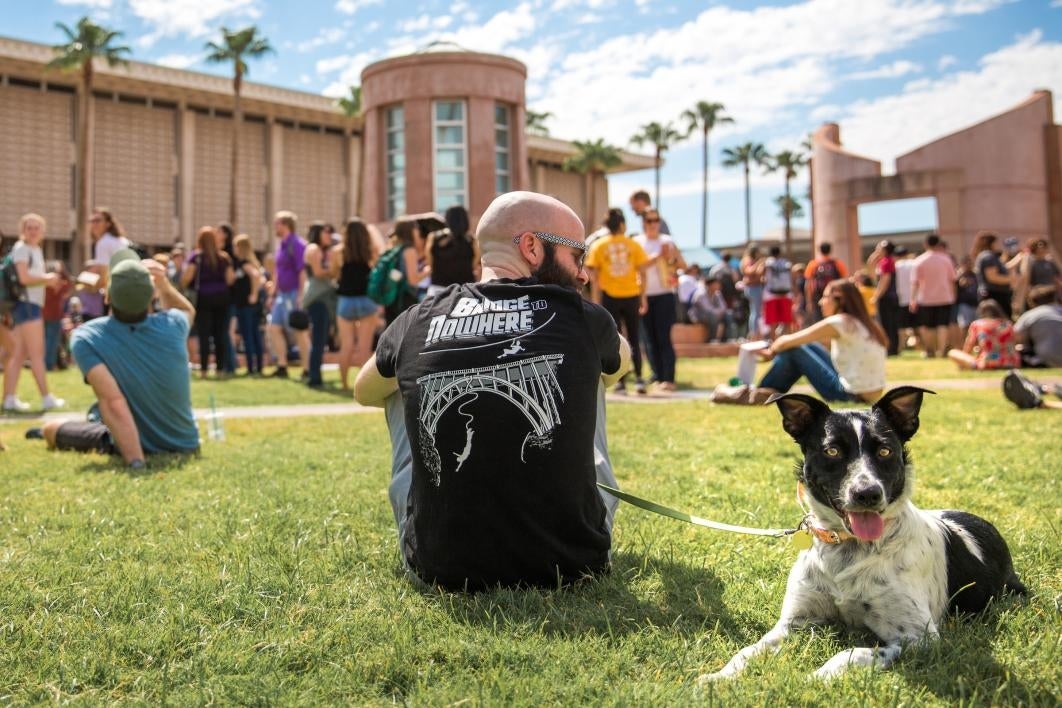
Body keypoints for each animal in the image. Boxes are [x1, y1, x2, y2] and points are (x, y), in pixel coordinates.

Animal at [700, 388, 1023, 679]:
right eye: (832, 451)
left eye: (885, 451)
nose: (867, 494)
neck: (849, 548)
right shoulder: (794, 621)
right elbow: (748, 650)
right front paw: (718, 678)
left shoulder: (920, 637)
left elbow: (852, 653)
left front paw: (818, 676)